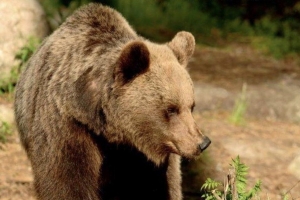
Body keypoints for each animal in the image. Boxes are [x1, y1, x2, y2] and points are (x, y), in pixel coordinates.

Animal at [14, 3, 210, 200]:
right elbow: (66, 182)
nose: (202, 143)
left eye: (191, 106)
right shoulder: (66, 126)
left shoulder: (144, 157)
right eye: (171, 109)